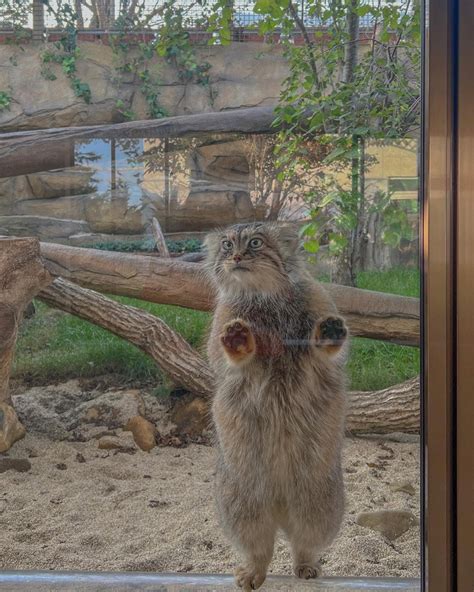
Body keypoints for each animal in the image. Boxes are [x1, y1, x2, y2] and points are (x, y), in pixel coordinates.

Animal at [205, 223, 348, 592]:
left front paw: (328, 333)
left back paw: (306, 565)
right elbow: (232, 355)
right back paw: (253, 571)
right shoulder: (223, 327)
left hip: (318, 504)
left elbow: (325, 349)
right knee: (261, 548)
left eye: (255, 243)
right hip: (242, 506)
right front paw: (239, 340)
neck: (264, 296)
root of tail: (281, 504)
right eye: (227, 245)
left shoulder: (317, 308)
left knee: (304, 542)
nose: (236, 257)